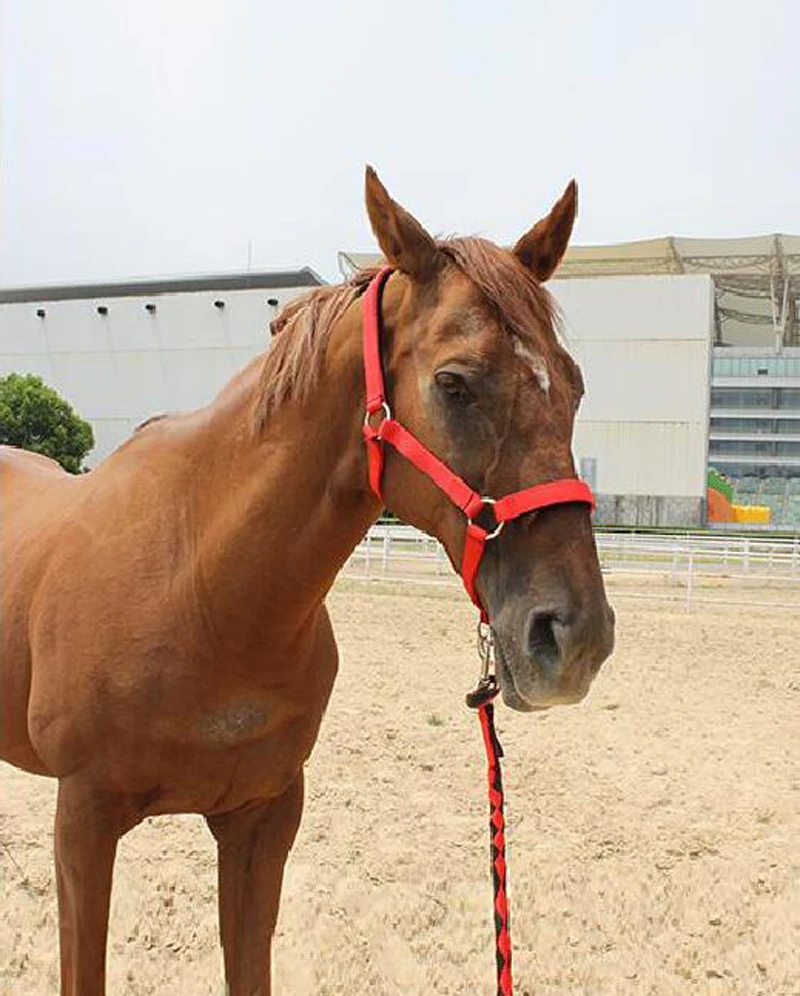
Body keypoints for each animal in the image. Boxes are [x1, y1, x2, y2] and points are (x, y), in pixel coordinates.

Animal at [0, 167, 615, 996]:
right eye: (455, 384)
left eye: (574, 386)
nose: (575, 637)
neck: (201, 589)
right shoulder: (84, 824)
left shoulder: (264, 817)